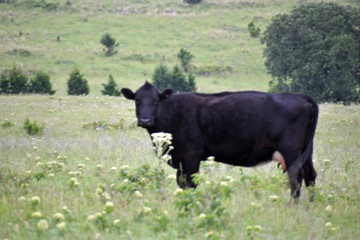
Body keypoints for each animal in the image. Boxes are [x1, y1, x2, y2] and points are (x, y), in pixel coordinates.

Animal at [122, 81, 320, 200]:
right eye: (137, 101)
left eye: (156, 101)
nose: (145, 120)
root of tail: (299, 96)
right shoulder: (181, 161)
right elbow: (181, 182)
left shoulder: (191, 156)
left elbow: (190, 183)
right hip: (306, 150)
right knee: (310, 175)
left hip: (291, 150)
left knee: (296, 177)